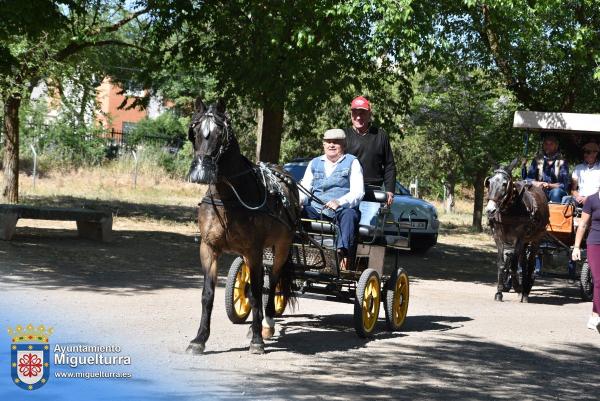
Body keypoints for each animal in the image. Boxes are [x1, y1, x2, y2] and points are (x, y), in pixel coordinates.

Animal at [184, 97, 298, 354]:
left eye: (219, 134)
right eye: (195, 130)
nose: (201, 172)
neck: (227, 198)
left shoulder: (254, 250)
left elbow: (256, 293)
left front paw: (257, 340)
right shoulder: (208, 248)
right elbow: (207, 295)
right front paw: (199, 339)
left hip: (282, 247)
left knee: (272, 281)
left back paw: (267, 324)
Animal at [488, 158, 548, 302]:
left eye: (505, 184)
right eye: (489, 182)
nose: (490, 210)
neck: (510, 209)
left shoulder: (519, 238)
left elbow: (514, 265)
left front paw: (517, 287)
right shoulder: (498, 237)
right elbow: (502, 264)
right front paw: (499, 292)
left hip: (536, 239)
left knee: (530, 264)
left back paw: (525, 291)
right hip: (525, 241)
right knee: (524, 263)